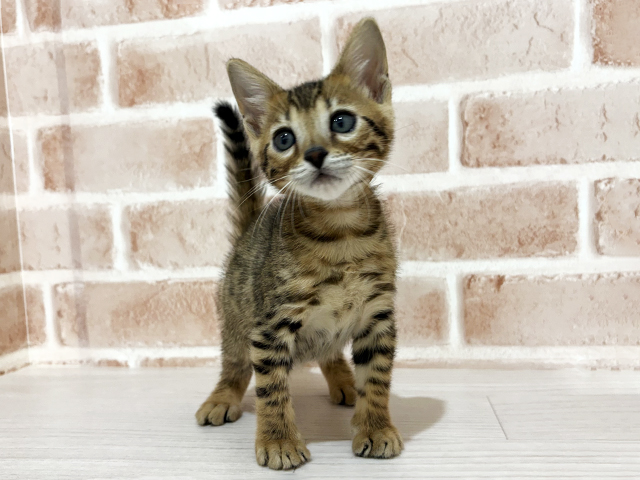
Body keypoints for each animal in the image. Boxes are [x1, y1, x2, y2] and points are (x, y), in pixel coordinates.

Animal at [195, 18, 403, 470]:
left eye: (341, 121)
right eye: (284, 138)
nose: (315, 153)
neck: (340, 232)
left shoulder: (377, 315)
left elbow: (377, 378)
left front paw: (376, 426)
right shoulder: (270, 326)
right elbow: (271, 390)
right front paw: (278, 441)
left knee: (329, 350)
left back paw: (343, 380)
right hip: (236, 317)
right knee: (234, 364)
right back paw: (222, 396)